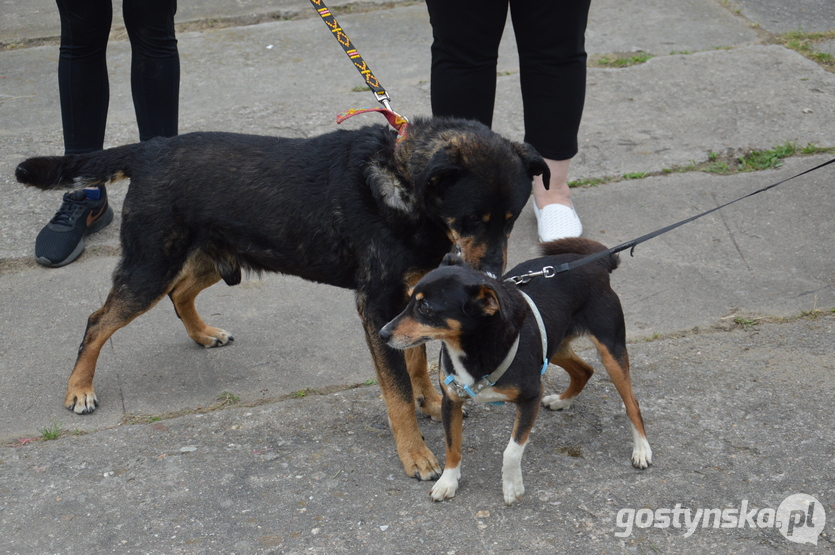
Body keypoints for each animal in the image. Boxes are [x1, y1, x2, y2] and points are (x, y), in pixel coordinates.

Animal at [16, 117, 548, 482]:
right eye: (473, 218)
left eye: (510, 219)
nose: (491, 276)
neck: (401, 185)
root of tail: (150, 148)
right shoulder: (378, 305)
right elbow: (396, 389)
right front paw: (415, 452)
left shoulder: (409, 298)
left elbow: (414, 360)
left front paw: (432, 402)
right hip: (150, 267)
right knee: (97, 320)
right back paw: (79, 389)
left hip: (209, 256)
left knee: (179, 292)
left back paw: (203, 333)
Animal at [380, 237, 652, 506]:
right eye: (409, 301)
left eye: (425, 308)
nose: (382, 334)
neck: (476, 346)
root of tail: (597, 263)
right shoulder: (451, 401)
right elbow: (452, 445)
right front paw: (448, 482)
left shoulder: (530, 397)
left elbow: (511, 450)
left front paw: (512, 487)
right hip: (553, 346)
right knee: (585, 370)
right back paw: (562, 401)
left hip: (610, 350)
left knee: (632, 403)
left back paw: (641, 449)